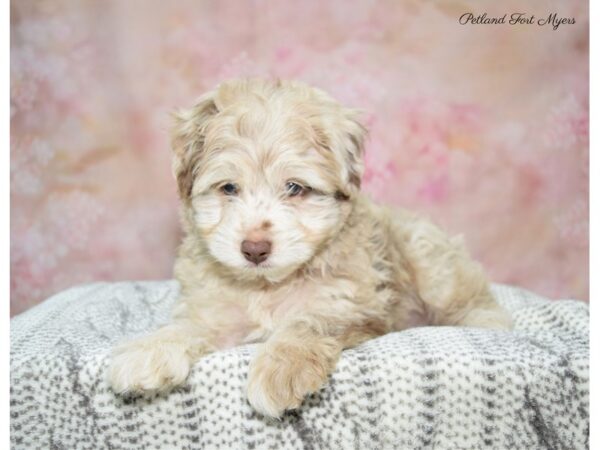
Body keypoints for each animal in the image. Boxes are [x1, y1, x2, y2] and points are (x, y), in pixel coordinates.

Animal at [108, 78, 510, 418]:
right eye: (228, 188)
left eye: (295, 188)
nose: (254, 249)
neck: (267, 286)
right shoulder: (215, 311)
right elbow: (190, 326)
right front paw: (150, 350)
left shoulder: (354, 306)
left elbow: (310, 321)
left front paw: (280, 367)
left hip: (431, 261)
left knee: (471, 299)